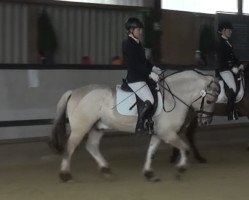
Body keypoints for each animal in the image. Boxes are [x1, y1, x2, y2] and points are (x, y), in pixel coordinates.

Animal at [49, 70, 219, 181]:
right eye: (210, 100)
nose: (206, 121)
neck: (172, 98)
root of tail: (74, 92)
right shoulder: (168, 133)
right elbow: (185, 148)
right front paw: (181, 169)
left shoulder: (159, 133)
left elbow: (151, 152)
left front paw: (149, 173)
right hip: (80, 128)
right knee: (70, 147)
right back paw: (65, 175)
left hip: (98, 127)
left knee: (91, 146)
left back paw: (105, 169)